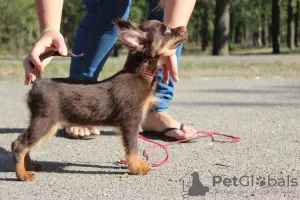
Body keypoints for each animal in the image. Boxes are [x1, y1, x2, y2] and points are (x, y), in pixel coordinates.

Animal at [11, 19, 189, 181]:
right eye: (167, 30)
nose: (183, 28)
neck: (137, 73)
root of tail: (39, 80)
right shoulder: (131, 123)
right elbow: (133, 147)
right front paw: (136, 168)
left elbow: (132, 148)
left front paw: (138, 164)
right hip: (45, 120)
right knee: (19, 145)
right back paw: (22, 174)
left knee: (26, 145)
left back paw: (30, 165)